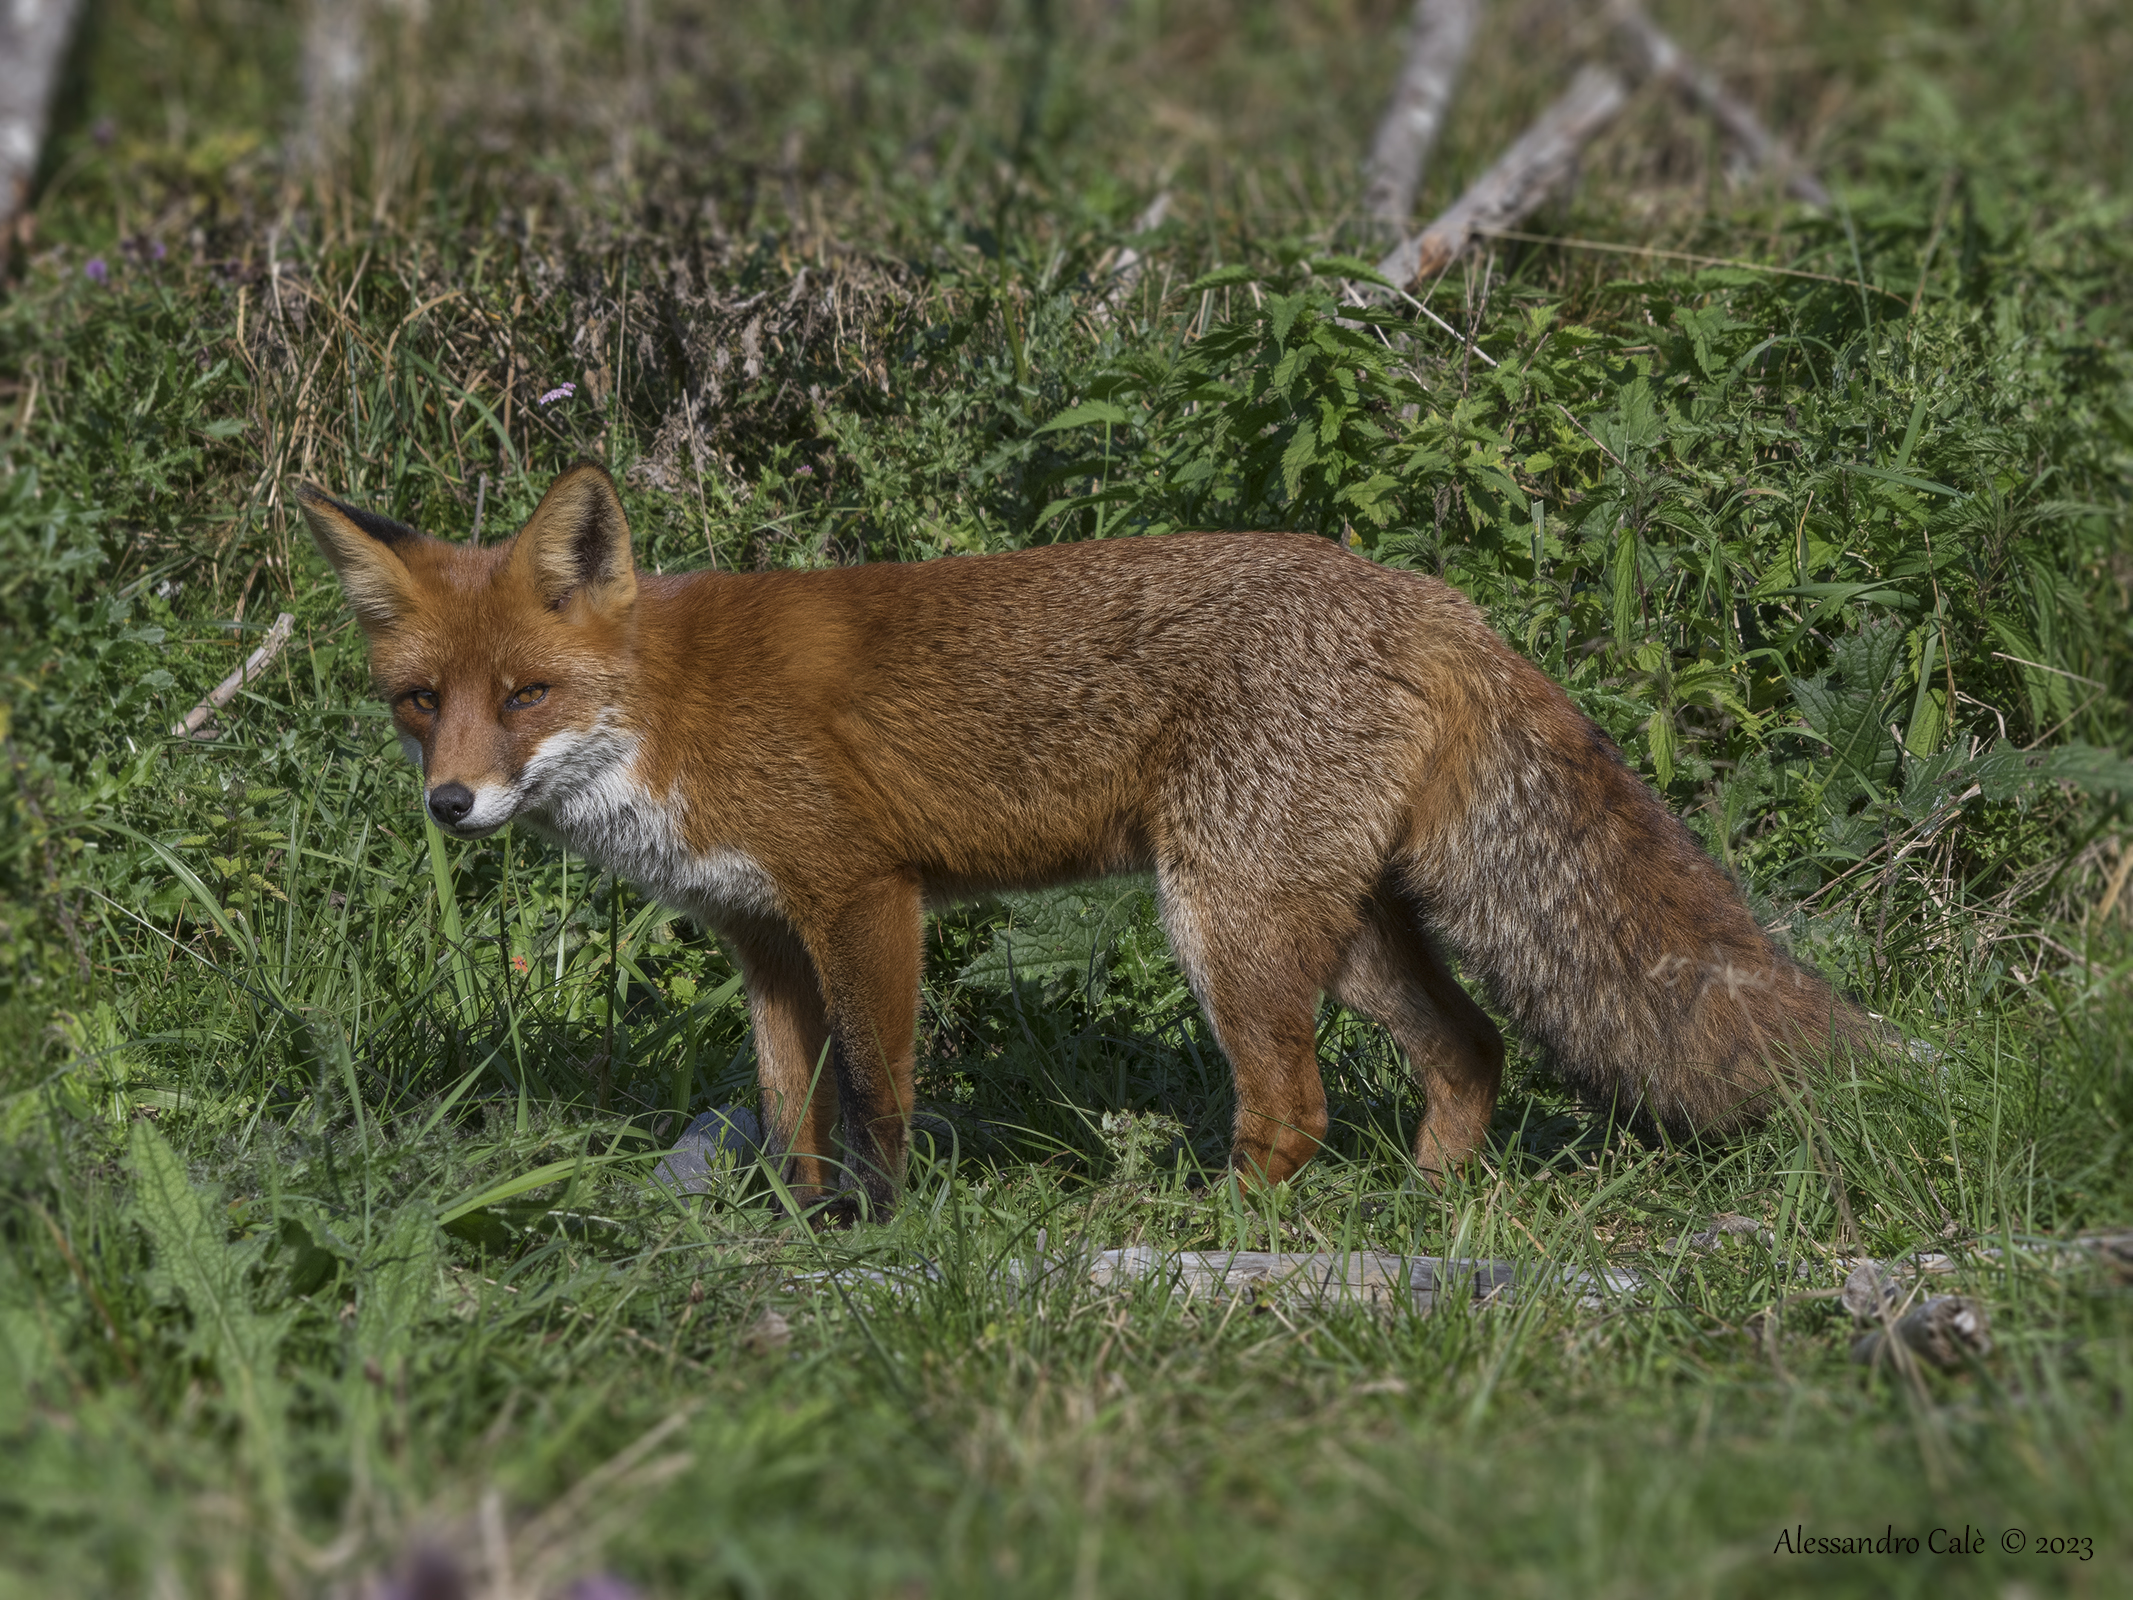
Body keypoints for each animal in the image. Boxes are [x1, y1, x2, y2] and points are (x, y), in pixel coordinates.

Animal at [297, 461, 1872, 1216]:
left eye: (527, 696)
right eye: (422, 702)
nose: (451, 805)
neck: (670, 706)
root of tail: (1434, 597)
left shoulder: (864, 896)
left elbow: (874, 1098)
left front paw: (878, 1233)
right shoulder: (762, 937)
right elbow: (789, 1108)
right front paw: (795, 1228)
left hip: (1223, 922)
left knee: (1291, 1109)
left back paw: (1215, 1235)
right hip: (1336, 927)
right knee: (1470, 1048)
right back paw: (1428, 1210)